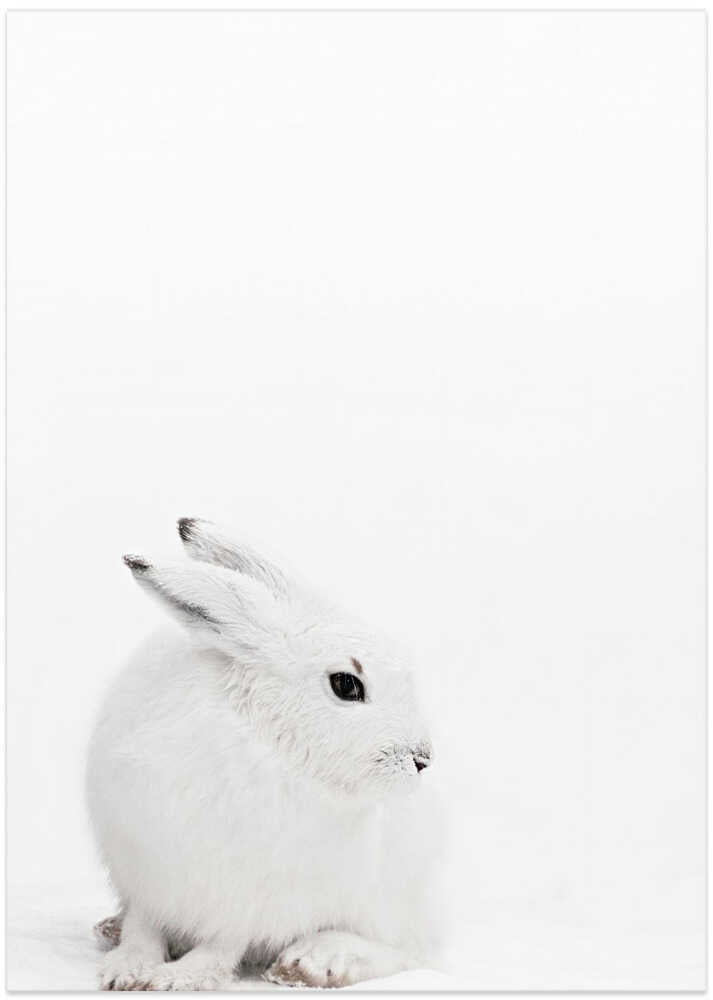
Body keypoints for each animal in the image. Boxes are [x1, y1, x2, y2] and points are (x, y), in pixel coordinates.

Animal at [86, 519, 443, 991]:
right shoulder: (147, 871)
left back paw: (314, 962)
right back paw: (109, 927)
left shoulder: (254, 900)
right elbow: (144, 927)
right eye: (346, 684)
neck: (266, 741)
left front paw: (178, 978)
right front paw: (127, 969)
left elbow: (223, 944)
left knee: (406, 950)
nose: (422, 758)